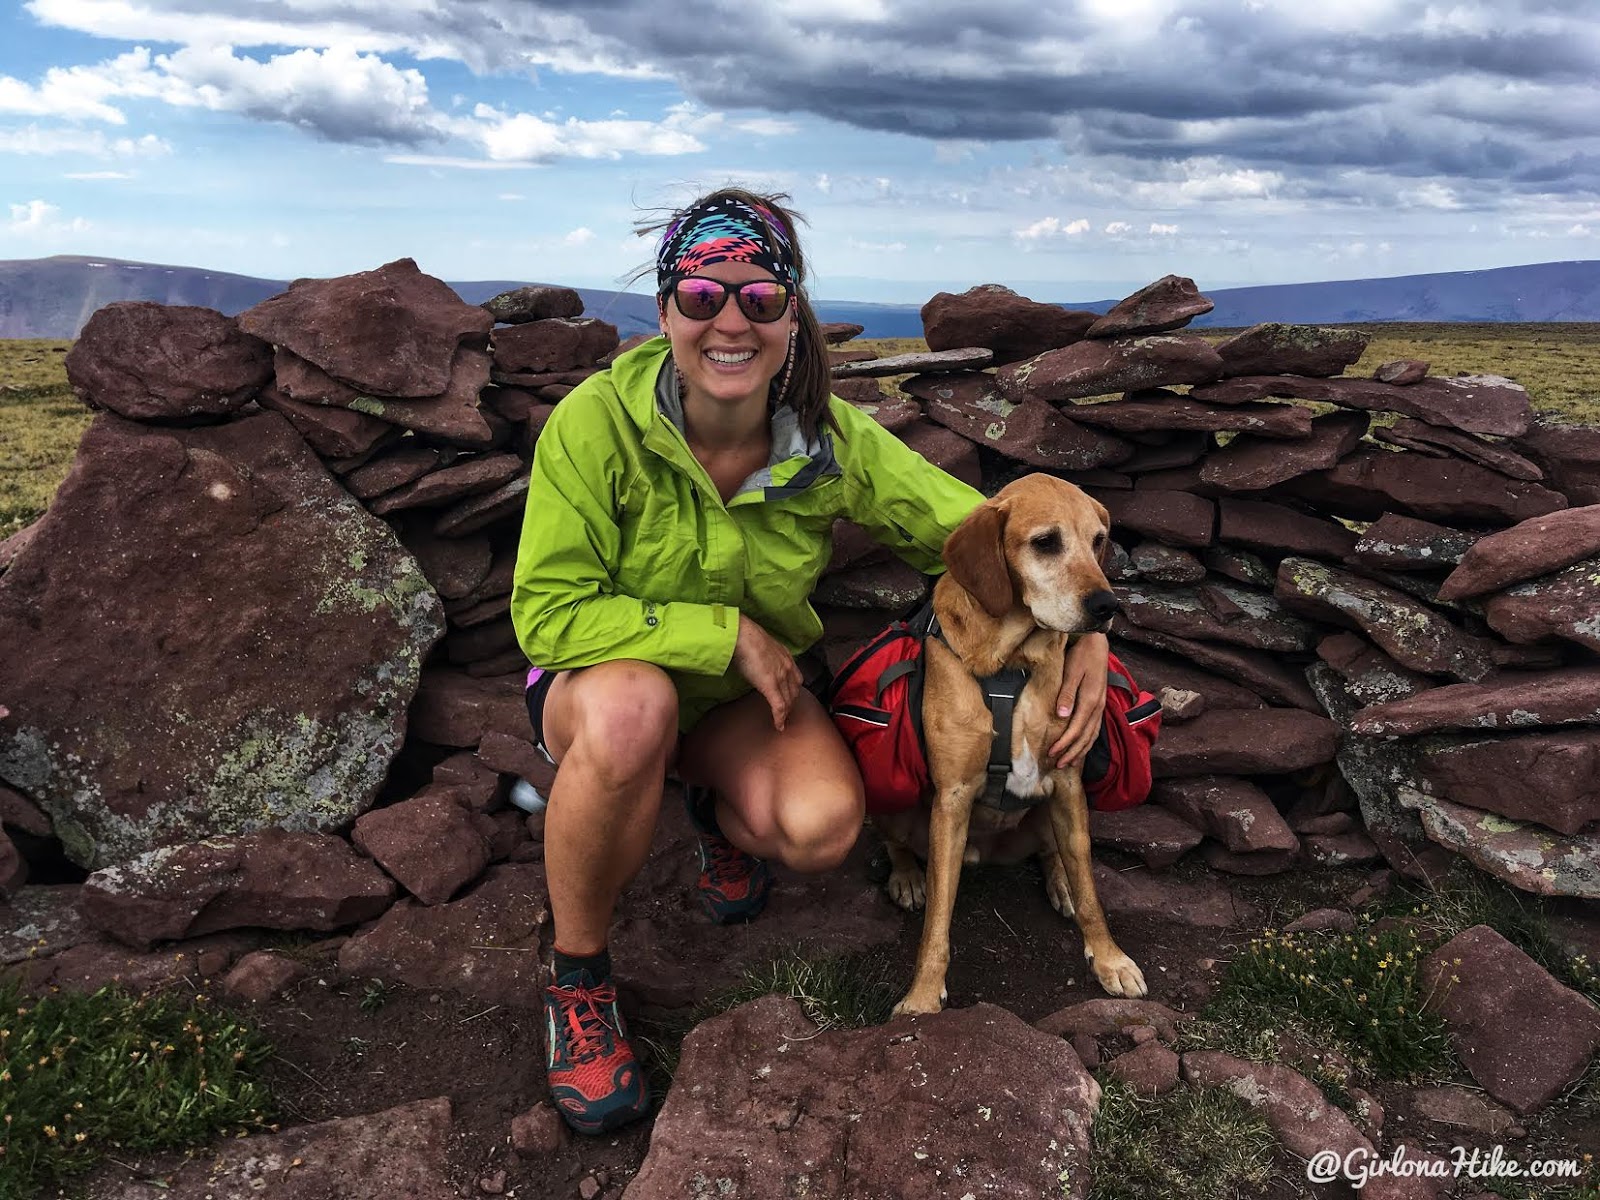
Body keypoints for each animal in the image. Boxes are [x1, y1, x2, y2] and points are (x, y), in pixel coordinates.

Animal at [876, 473, 1152, 1011]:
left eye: (1098, 541)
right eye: (1046, 542)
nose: (1107, 606)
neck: (1014, 663)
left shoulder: (1067, 783)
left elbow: (1091, 891)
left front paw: (1109, 958)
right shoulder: (953, 798)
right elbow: (937, 924)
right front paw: (922, 997)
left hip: (1053, 814)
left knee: (1058, 854)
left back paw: (1061, 882)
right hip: (899, 806)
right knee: (897, 845)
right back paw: (908, 877)